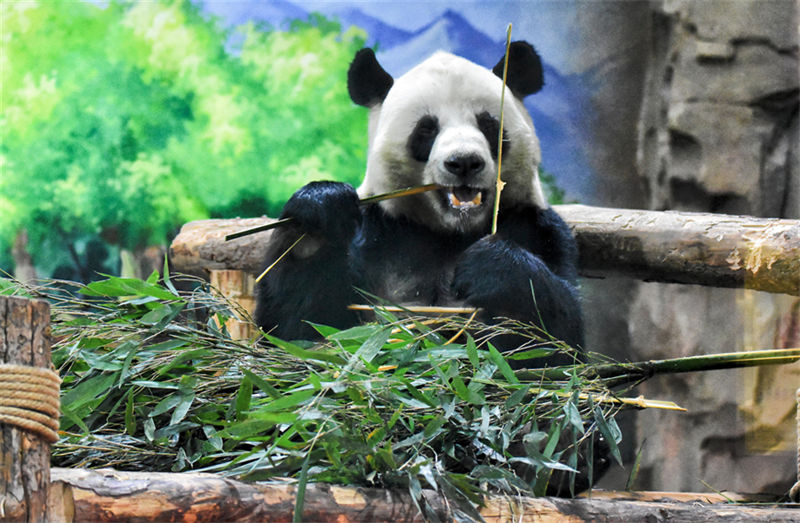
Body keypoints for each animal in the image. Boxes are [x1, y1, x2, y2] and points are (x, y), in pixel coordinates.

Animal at [255, 41, 584, 366]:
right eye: (427, 129)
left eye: (489, 124)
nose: (464, 162)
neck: (449, 231)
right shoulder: (379, 231)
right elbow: (298, 332)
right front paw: (321, 215)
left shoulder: (535, 225)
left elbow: (558, 342)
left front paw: (492, 264)